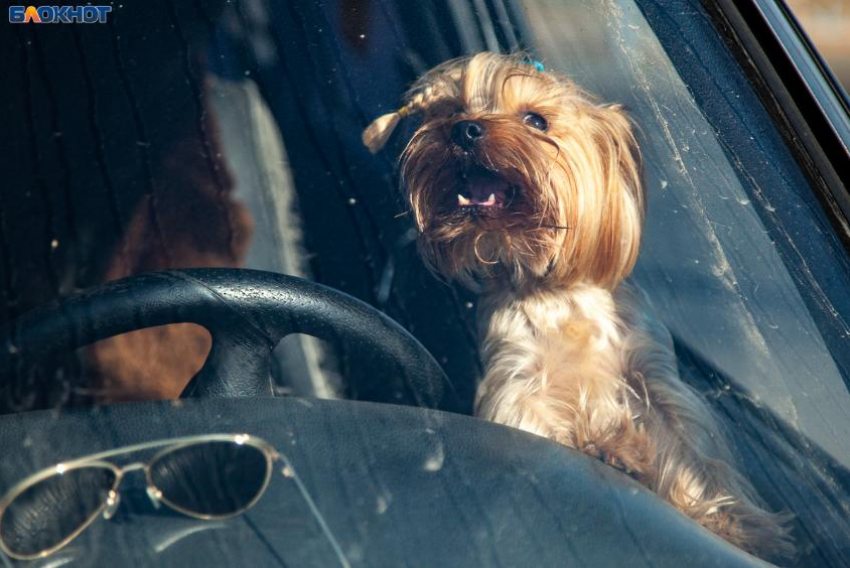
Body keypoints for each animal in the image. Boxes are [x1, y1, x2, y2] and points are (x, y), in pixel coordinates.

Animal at [362, 53, 792, 560]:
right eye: (449, 110)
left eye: (536, 120)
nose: (464, 130)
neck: (554, 291)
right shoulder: (519, 380)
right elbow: (532, 421)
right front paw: (604, 449)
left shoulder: (653, 379)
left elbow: (691, 451)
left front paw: (731, 523)